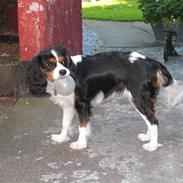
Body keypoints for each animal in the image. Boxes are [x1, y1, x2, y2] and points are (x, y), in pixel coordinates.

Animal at [25, 45, 180, 152]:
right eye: (49, 64)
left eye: (63, 62)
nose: (63, 71)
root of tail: (151, 62)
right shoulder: (69, 105)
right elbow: (65, 123)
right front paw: (61, 138)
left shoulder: (82, 104)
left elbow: (82, 125)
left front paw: (80, 143)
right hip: (143, 100)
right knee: (150, 119)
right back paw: (148, 137)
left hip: (139, 100)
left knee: (154, 121)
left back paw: (152, 145)